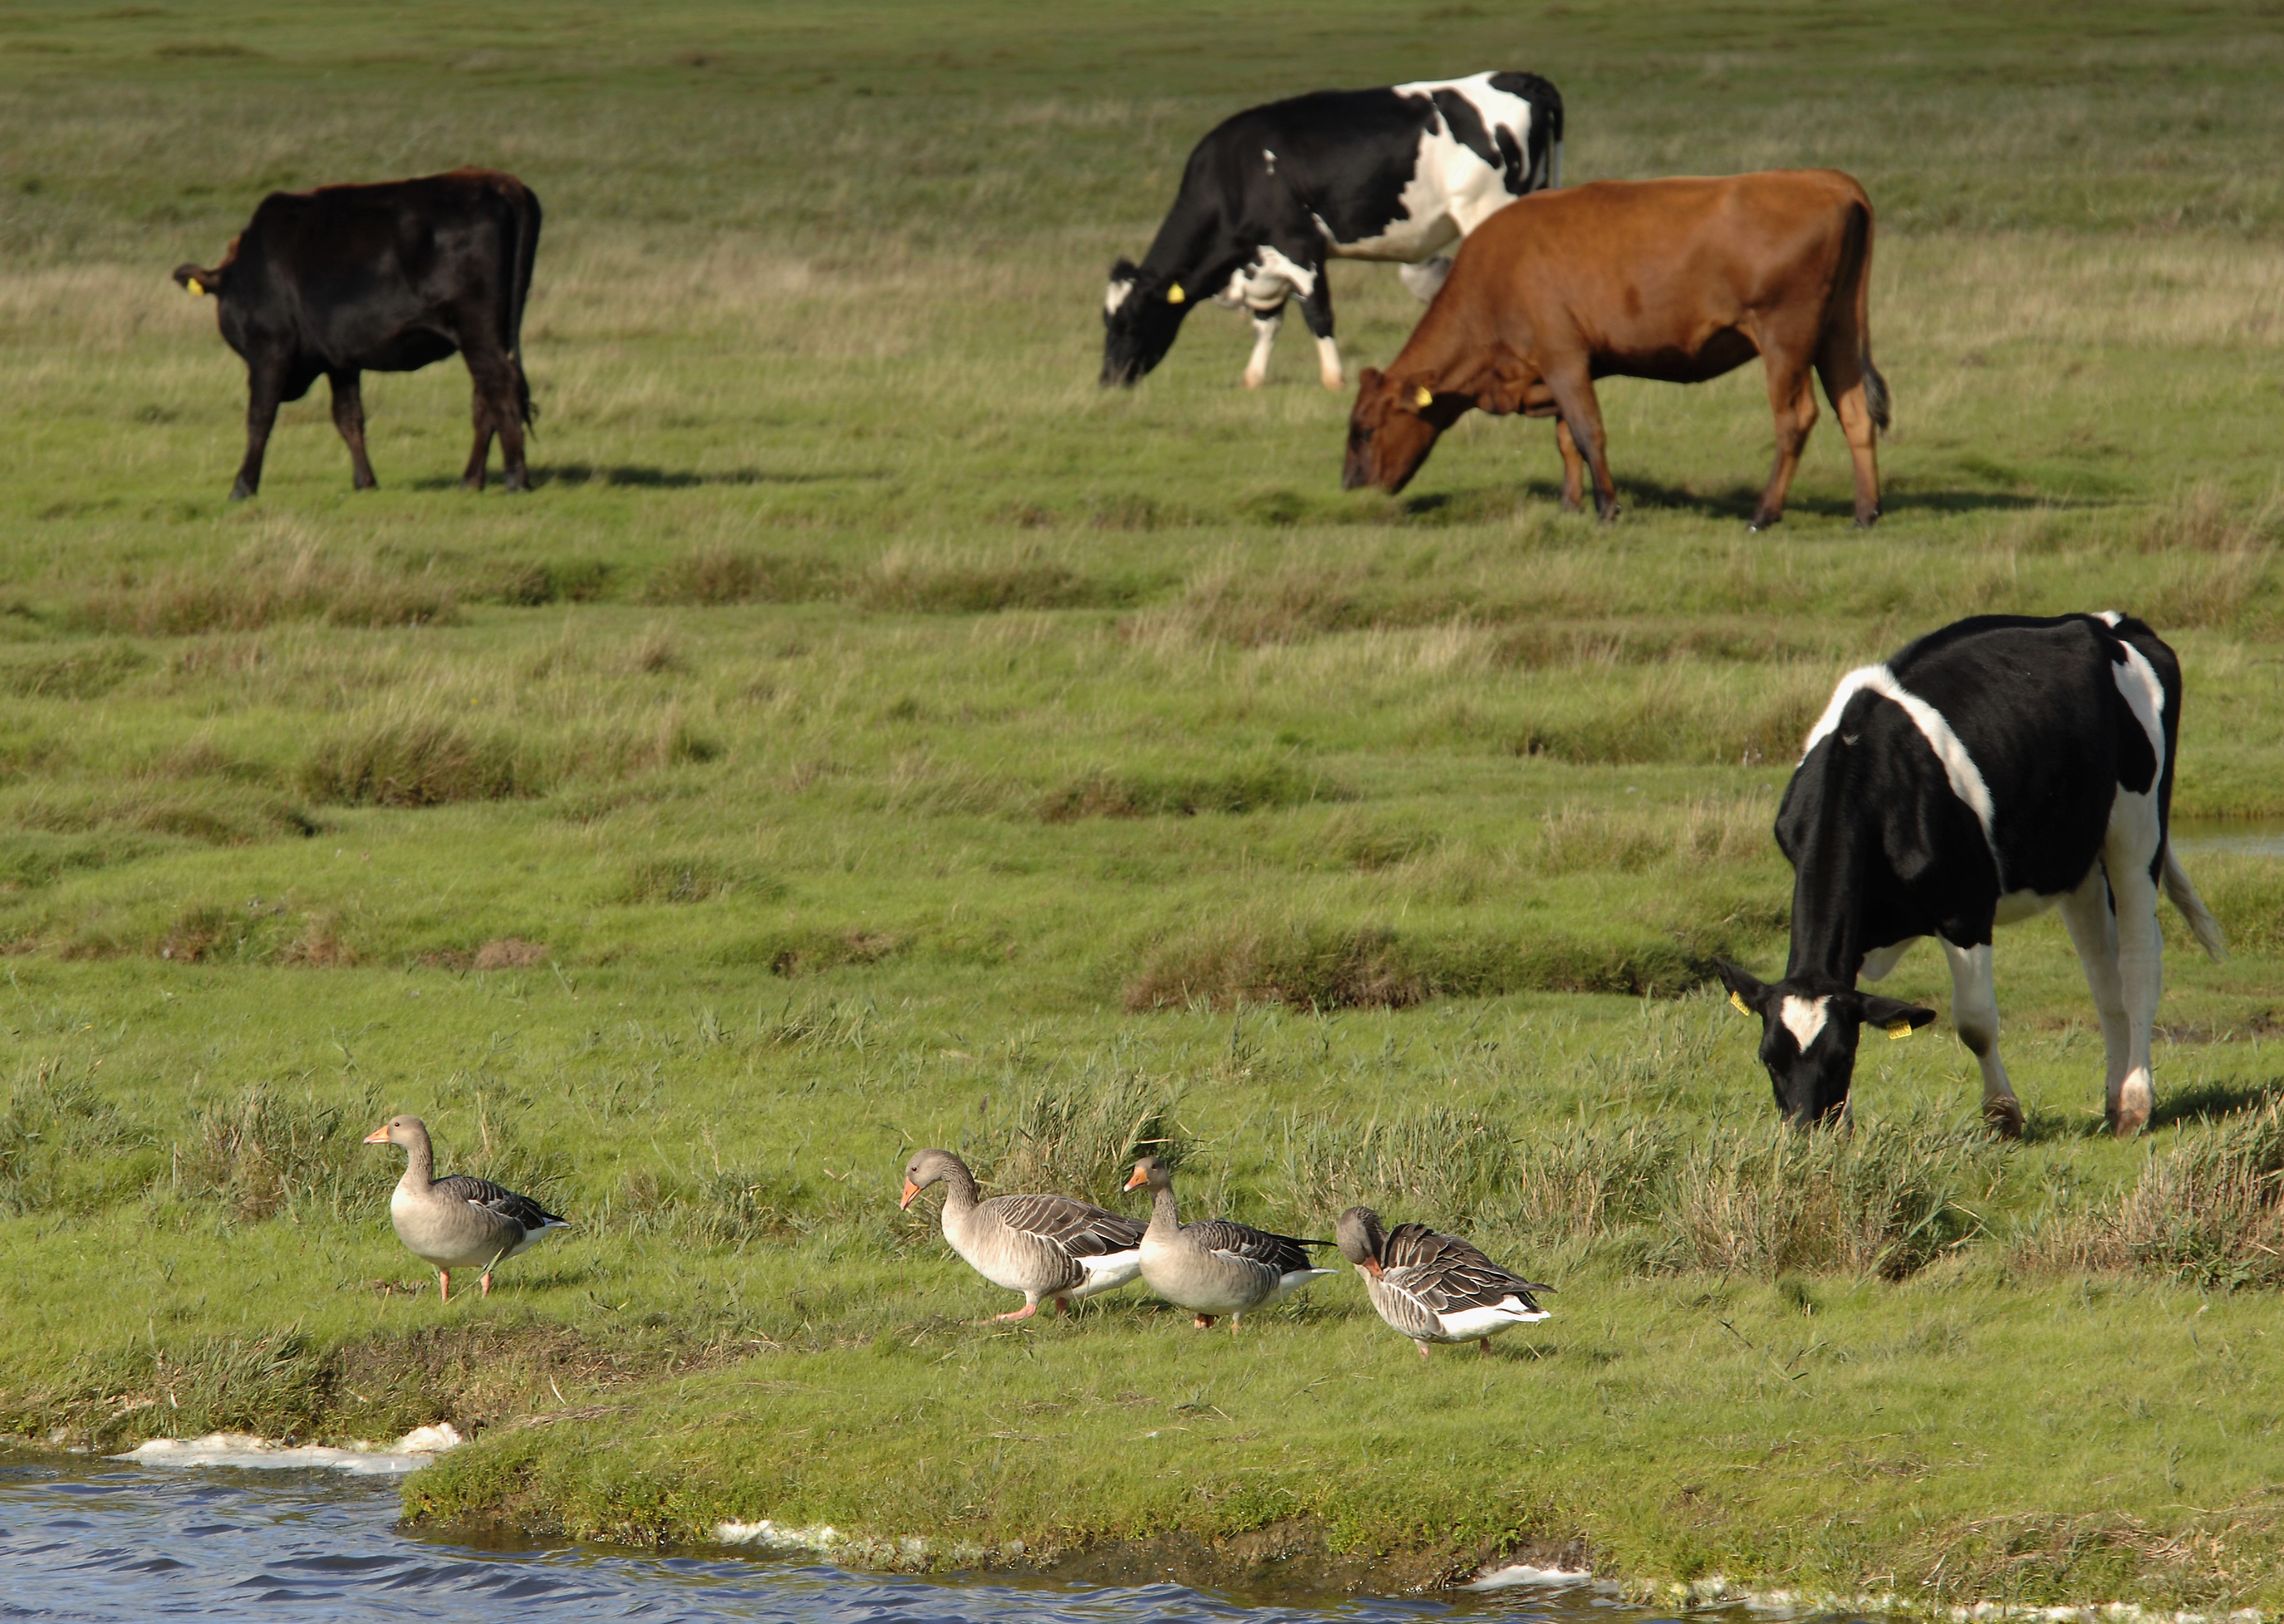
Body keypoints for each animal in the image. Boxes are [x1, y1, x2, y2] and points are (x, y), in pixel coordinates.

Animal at [171, 165, 541, 497]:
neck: (248, 270)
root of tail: (499, 182)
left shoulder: (270, 348)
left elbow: (260, 416)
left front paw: (243, 485)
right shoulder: (340, 359)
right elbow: (348, 416)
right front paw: (365, 482)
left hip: (476, 330)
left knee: (500, 386)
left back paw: (515, 479)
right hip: (490, 333)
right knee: (486, 398)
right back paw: (471, 480)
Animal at [1096, 76, 1562, 392]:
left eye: (1129, 321)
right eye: (1106, 320)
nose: (1108, 380)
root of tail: (1519, 78)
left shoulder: (1300, 247)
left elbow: (1317, 314)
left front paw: (1334, 378)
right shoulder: (1265, 261)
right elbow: (1268, 322)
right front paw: (1253, 376)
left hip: (1489, 209)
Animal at [1334, 169, 1891, 529]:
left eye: (1364, 430)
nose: (1350, 487)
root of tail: (1826, 180)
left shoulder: (1563, 359)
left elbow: (1587, 433)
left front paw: (1606, 507)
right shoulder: (1560, 371)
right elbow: (1565, 440)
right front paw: (1569, 505)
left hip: (1785, 337)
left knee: (1794, 418)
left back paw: (1763, 513)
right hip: (1838, 332)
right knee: (1855, 415)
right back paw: (1864, 512)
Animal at [1718, 617, 2229, 1137]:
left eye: (1841, 1057)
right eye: (1768, 1058)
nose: (1804, 1131)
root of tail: (2109, 623)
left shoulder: (1965, 909)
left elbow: (1975, 1023)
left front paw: (2003, 1116)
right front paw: (1846, 1123)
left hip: (2138, 828)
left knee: (2138, 963)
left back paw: (2134, 1105)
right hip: (2076, 856)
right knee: (2104, 977)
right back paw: (2113, 1097)